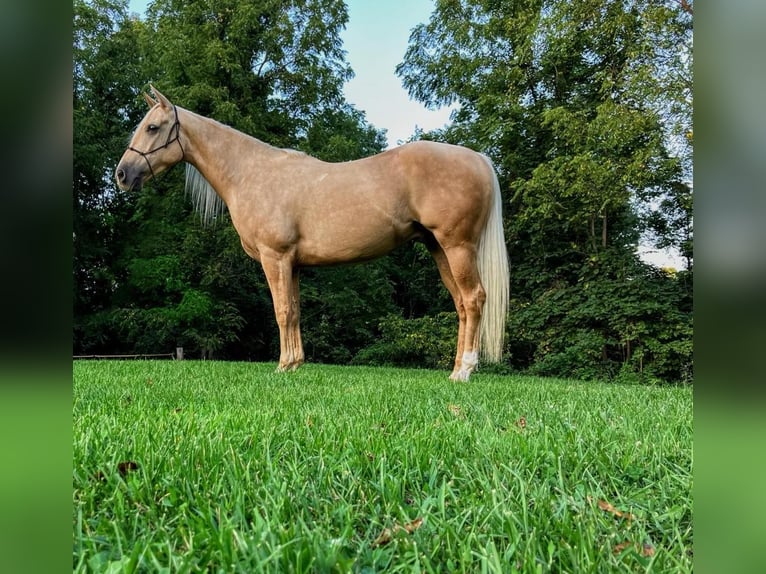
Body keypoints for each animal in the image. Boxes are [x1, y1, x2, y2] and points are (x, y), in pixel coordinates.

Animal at [115, 85, 510, 382]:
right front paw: (295, 363)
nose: (122, 175)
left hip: (457, 246)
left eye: (153, 128)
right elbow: (295, 310)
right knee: (461, 304)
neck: (251, 173)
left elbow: (281, 311)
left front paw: (282, 366)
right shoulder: (293, 264)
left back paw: (465, 371)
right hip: (438, 248)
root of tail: (478, 158)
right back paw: (456, 370)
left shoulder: (275, 257)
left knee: (474, 298)